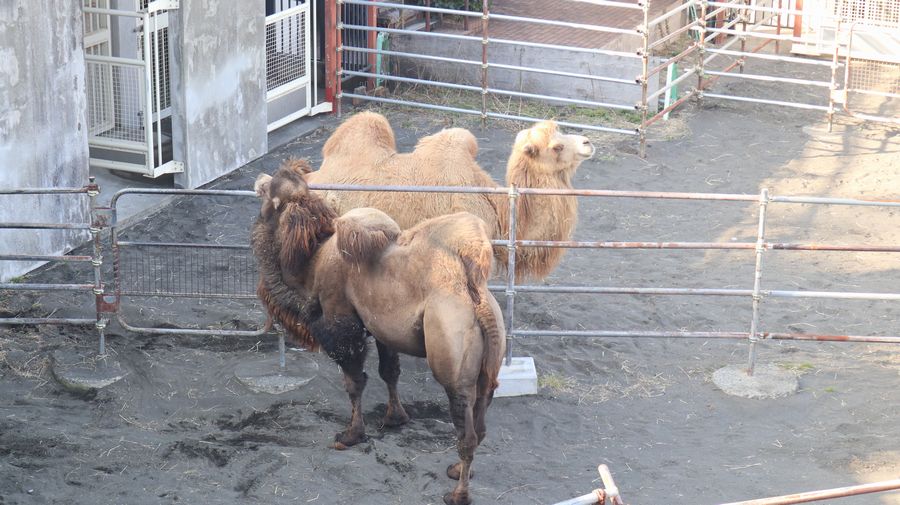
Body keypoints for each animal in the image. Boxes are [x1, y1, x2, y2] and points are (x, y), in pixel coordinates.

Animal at [253, 158, 506, 504]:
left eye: (269, 190)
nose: (259, 179)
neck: (313, 259)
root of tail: (476, 297)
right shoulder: (384, 327)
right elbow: (390, 371)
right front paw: (395, 418)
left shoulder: (340, 320)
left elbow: (354, 382)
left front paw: (350, 435)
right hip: (490, 360)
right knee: (481, 419)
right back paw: (456, 470)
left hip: (452, 354)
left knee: (464, 426)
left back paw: (457, 493)